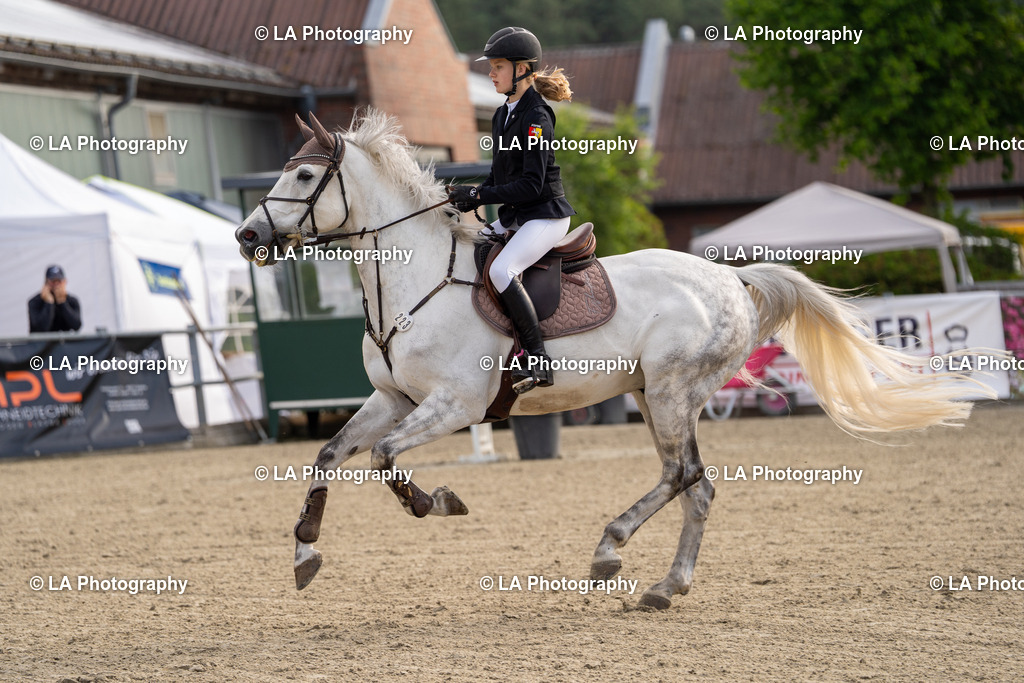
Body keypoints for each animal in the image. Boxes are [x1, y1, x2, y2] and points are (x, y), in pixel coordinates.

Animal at [235, 110, 992, 609]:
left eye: (305, 174)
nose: (246, 236)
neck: (411, 274)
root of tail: (730, 278)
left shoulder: (454, 404)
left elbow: (385, 458)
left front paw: (438, 501)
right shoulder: (393, 399)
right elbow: (330, 454)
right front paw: (305, 550)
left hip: (670, 391)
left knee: (683, 476)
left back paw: (611, 548)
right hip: (653, 396)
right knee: (696, 485)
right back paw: (665, 584)